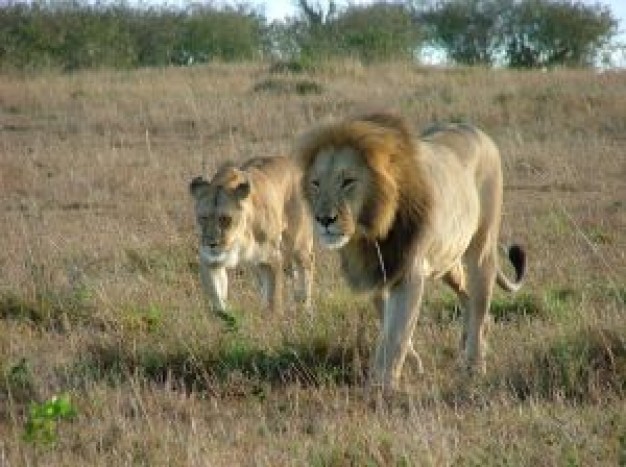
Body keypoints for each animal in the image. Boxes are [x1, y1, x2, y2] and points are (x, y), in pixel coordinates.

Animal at [185, 157, 312, 318]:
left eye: (225, 219)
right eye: (203, 217)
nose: (212, 244)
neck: (238, 238)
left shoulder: (272, 258)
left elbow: (274, 299)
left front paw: (274, 319)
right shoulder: (210, 261)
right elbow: (217, 297)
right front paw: (226, 317)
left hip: (298, 244)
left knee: (306, 268)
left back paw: (305, 308)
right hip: (255, 264)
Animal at [294, 112, 524, 392]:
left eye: (348, 181)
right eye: (316, 183)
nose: (324, 220)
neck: (372, 231)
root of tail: (475, 131)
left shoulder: (408, 273)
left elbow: (396, 333)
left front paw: (383, 385)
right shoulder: (376, 273)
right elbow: (388, 323)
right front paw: (412, 364)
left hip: (481, 247)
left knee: (480, 302)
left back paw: (475, 364)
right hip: (447, 261)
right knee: (467, 296)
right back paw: (473, 341)